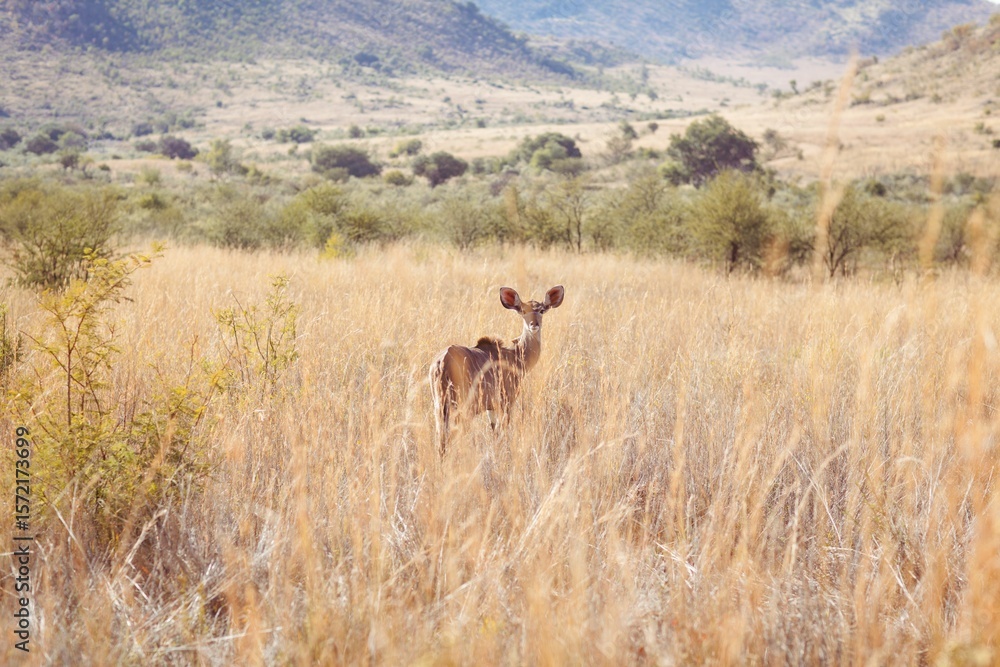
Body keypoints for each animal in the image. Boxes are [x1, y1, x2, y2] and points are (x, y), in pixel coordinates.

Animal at [429, 285, 565, 456]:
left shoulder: (490, 407)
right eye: (523, 310)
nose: (534, 325)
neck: (515, 356)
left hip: (440, 406)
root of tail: (442, 362)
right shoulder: (506, 401)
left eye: (541, 310)